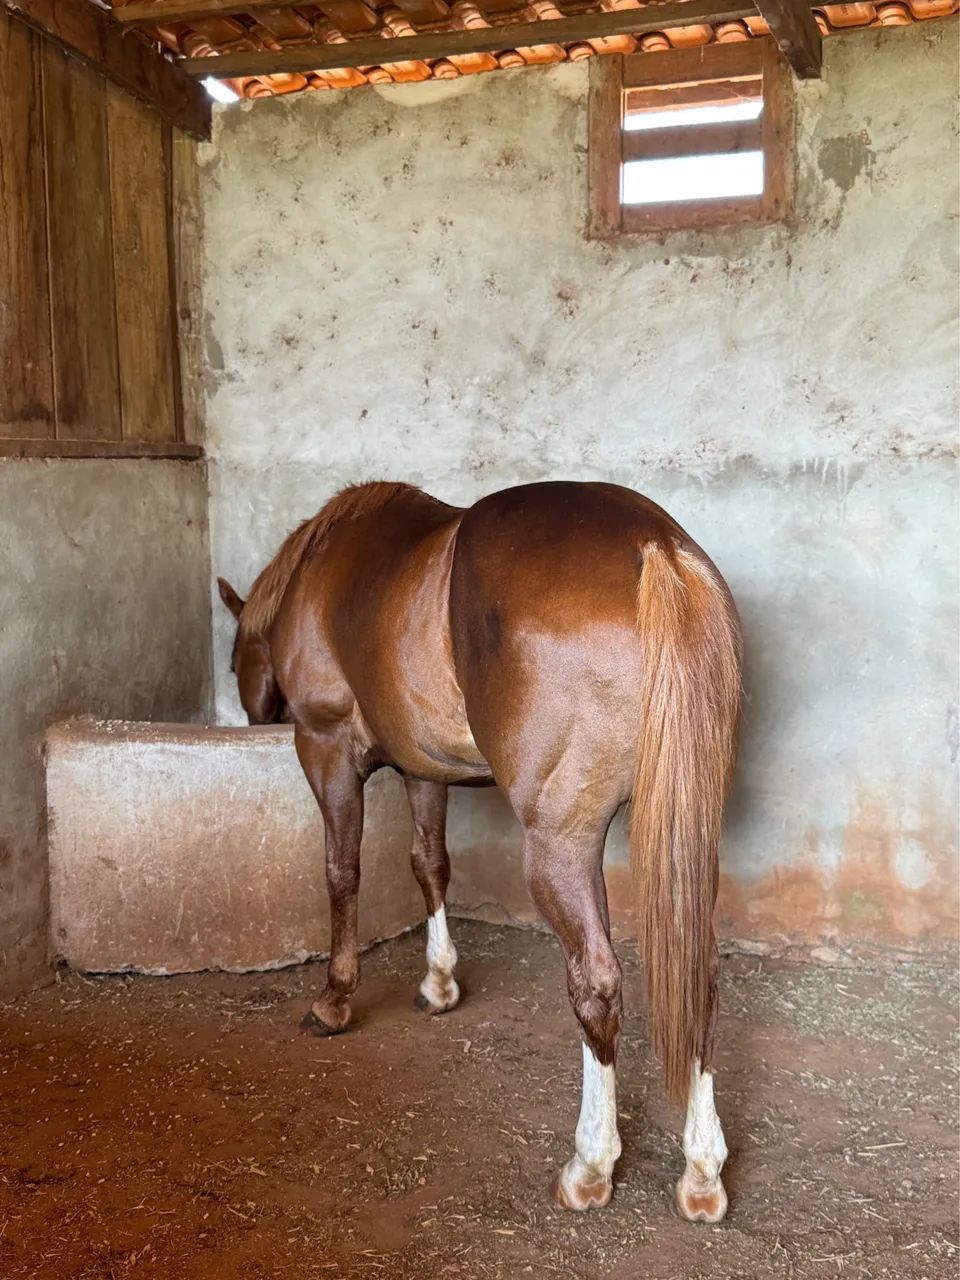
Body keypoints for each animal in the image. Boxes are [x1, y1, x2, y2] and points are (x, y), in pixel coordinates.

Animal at [217, 479, 741, 1220]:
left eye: (233, 659)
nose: (250, 716)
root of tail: (657, 549)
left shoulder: (327, 751)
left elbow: (342, 871)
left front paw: (334, 999)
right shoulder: (423, 770)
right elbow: (429, 864)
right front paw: (438, 984)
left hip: (561, 845)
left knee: (597, 983)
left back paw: (591, 1163)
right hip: (685, 837)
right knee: (698, 974)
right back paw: (701, 1171)